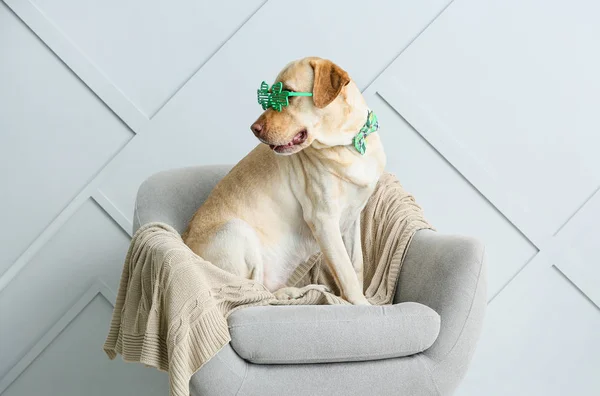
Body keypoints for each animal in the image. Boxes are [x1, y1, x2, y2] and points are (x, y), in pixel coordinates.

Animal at [183, 55, 386, 304]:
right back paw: (292, 293)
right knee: (254, 293)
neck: (347, 145)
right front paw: (360, 304)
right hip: (237, 230)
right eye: (268, 96)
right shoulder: (323, 220)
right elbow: (346, 272)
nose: (254, 129)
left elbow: (357, 265)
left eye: (287, 94)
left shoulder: (353, 217)